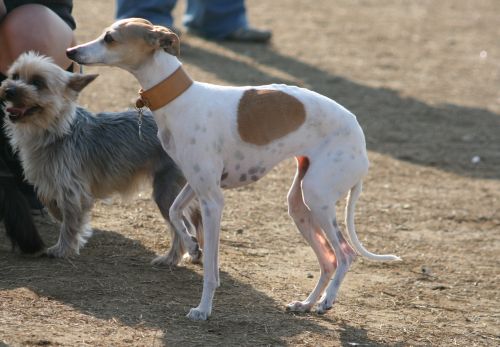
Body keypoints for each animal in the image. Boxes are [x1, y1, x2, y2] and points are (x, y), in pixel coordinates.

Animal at [0, 52, 203, 264]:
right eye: (14, 76)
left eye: (37, 82)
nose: (9, 90)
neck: (54, 131)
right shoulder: (52, 181)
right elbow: (51, 203)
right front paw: (58, 217)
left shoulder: (72, 188)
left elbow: (70, 221)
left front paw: (63, 248)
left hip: (166, 190)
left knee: (181, 226)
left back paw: (171, 258)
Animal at [67, 17, 402, 322]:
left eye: (110, 38)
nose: (71, 51)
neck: (181, 99)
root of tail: (359, 136)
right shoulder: (196, 184)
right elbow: (175, 212)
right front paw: (191, 245)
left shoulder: (213, 200)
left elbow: (210, 269)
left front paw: (203, 309)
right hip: (300, 204)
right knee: (328, 258)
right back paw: (306, 303)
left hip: (317, 196)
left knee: (345, 253)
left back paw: (327, 301)